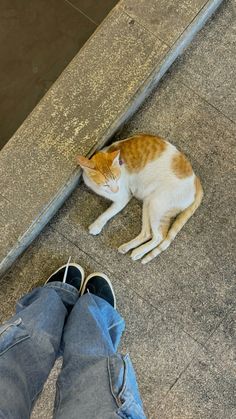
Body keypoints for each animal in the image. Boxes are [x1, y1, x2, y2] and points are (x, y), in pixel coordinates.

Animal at [76, 135, 203, 264]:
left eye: (116, 178)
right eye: (105, 184)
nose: (115, 189)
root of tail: (196, 180)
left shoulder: (124, 196)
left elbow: (108, 212)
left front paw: (96, 225)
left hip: (157, 204)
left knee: (160, 236)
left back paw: (139, 251)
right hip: (149, 202)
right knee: (148, 233)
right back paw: (130, 249)